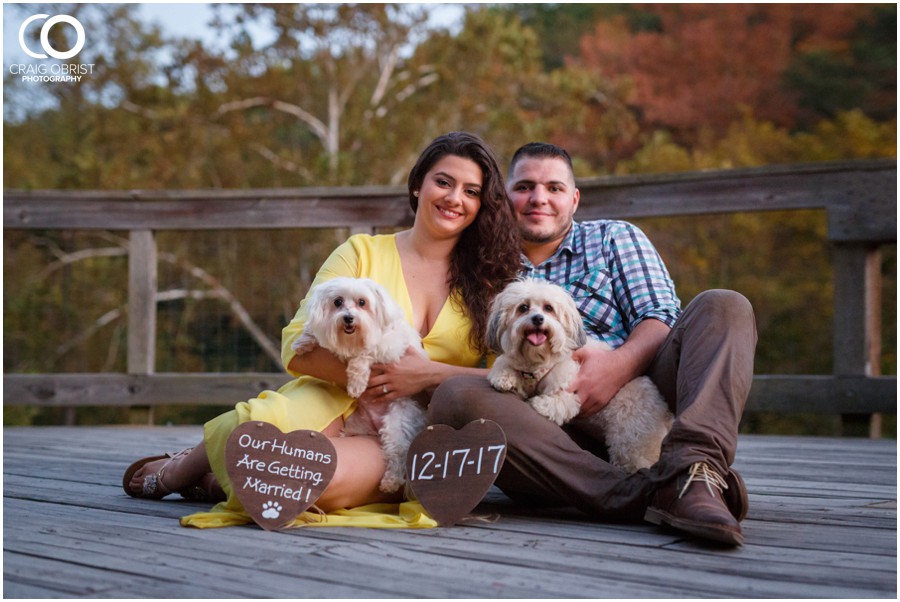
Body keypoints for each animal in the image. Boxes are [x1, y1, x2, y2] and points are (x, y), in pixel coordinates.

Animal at [290, 276, 428, 492]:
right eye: (337, 302)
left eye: (362, 302)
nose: (348, 318)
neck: (352, 340)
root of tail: (374, 428)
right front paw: (303, 342)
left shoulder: (392, 349)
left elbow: (364, 353)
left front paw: (356, 383)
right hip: (354, 427)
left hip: (397, 421)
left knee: (398, 451)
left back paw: (391, 481)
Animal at [486, 278, 676, 474]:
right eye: (523, 308)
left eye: (548, 308)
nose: (538, 319)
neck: (537, 359)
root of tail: (665, 412)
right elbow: (504, 364)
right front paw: (504, 377)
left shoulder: (571, 389)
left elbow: (556, 403)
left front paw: (538, 404)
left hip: (631, 442)